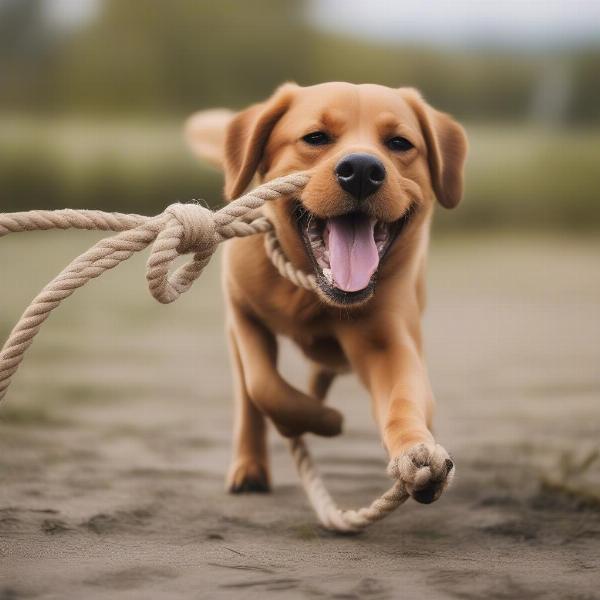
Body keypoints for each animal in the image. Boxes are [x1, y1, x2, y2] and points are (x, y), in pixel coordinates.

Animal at [185, 82, 466, 504]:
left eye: (399, 143)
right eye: (316, 138)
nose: (363, 170)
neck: (312, 294)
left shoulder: (390, 342)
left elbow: (405, 399)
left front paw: (416, 453)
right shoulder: (242, 314)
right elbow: (264, 387)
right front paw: (323, 422)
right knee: (249, 400)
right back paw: (251, 466)